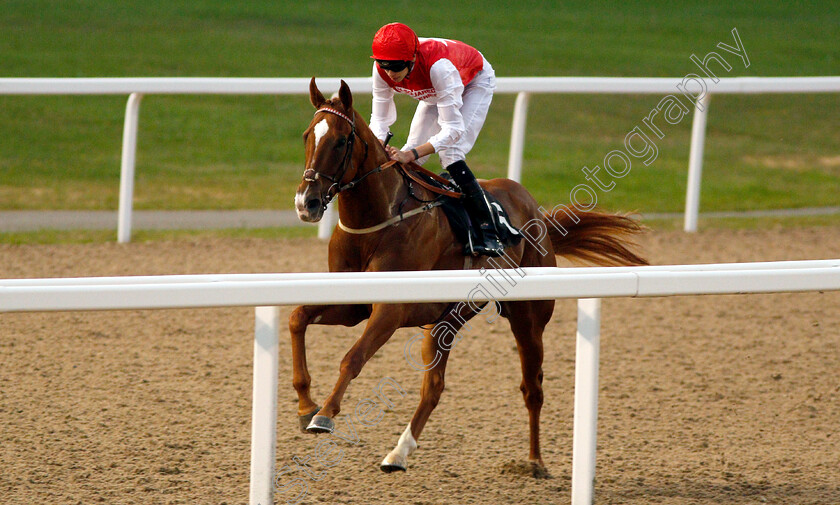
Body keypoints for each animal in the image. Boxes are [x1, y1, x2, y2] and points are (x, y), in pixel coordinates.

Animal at [288, 79, 644, 472]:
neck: (381, 218)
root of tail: (538, 214)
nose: (307, 202)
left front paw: (325, 414)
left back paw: (535, 460)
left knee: (532, 386)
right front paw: (306, 405)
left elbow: (352, 357)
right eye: (306, 136)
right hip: (444, 322)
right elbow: (297, 318)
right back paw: (398, 453)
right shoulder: (354, 305)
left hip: (528, 318)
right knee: (434, 387)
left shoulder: (391, 309)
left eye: (339, 141)